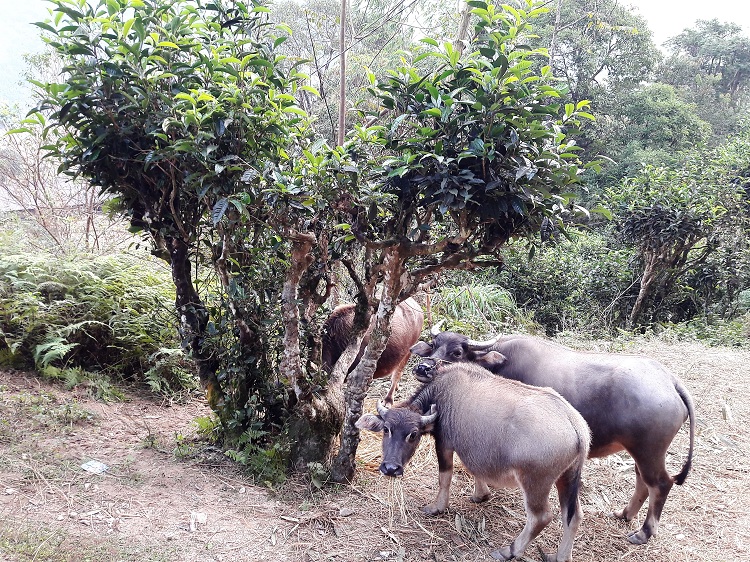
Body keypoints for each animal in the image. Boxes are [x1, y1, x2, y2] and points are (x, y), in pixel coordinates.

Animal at [356, 360, 592, 556]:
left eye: (413, 435)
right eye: (386, 429)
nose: (390, 468)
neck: (442, 393)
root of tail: (577, 425)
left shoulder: (444, 443)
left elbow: (445, 477)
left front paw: (437, 507)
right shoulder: (474, 449)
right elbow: (476, 469)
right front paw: (481, 494)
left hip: (535, 482)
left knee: (541, 517)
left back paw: (509, 551)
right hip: (567, 478)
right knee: (573, 516)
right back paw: (561, 556)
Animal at [412, 328, 700, 544]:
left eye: (457, 352)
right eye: (433, 344)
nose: (423, 368)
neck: (501, 364)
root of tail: (669, 380)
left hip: (649, 451)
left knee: (661, 484)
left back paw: (643, 532)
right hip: (639, 451)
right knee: (643, 481)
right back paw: (624, 514)